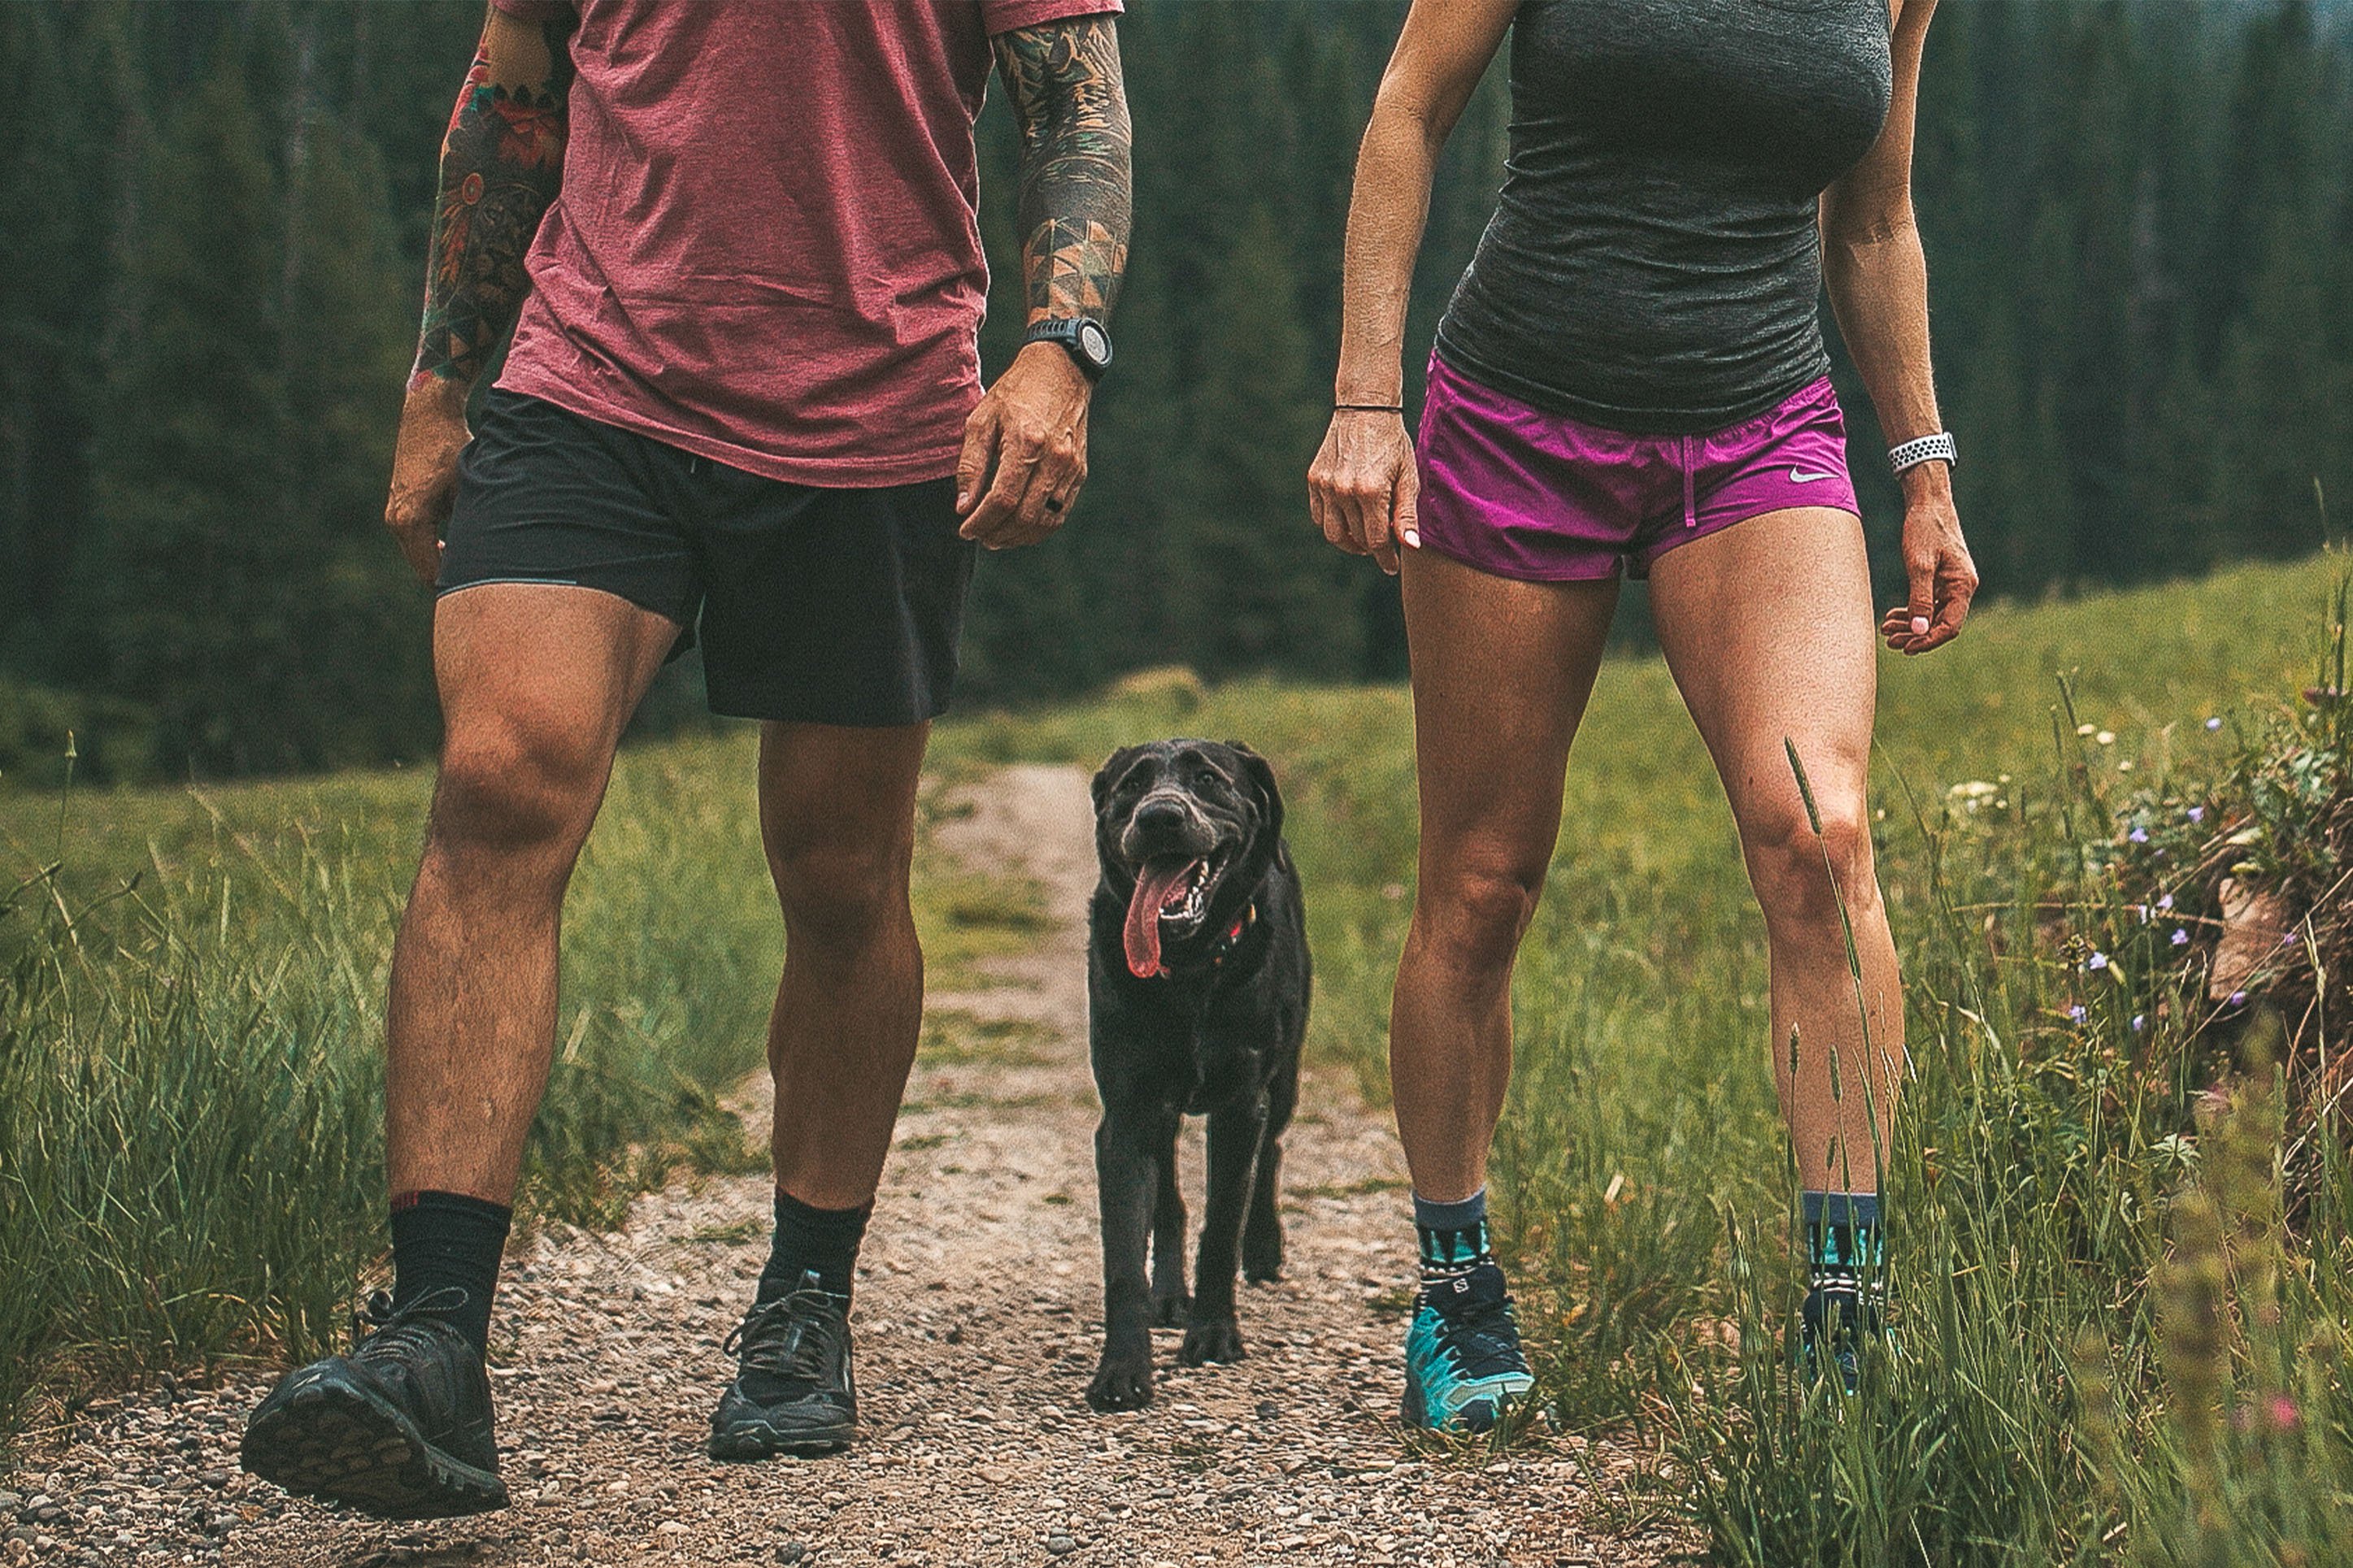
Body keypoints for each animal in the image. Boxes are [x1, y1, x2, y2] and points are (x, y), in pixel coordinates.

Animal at [1077, 738, 1308, 1410]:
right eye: (1131, 785)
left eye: (1208, 779)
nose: (1159, 816)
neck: (1189, 966)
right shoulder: (1126, 1115)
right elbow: (1125, 1255)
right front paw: (1122, 1367)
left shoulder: (1240, 1105)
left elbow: (1221, 1225)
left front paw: (1213, 1331)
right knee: (1171, 1202)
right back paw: (1169, 1293)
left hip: (1284, 1079)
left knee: (1273, 1150)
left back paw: (1263, 1247)